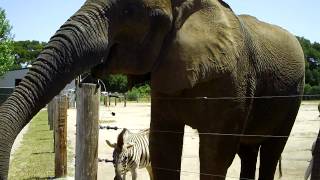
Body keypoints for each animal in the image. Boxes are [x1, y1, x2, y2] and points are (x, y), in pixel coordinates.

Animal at [0, 0, 304, 180]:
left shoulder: (234, 80)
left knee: (271, 150)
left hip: (293, 97)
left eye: (139, 14)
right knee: (248, 151)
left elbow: (215, 154)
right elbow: (163, 147)